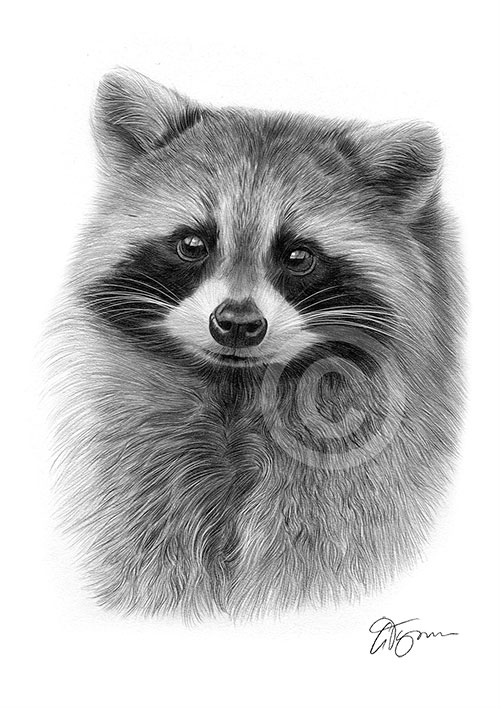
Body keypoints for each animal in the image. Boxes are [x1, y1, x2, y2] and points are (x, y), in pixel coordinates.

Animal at [44, 68, 464, 621]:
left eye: (299, 256)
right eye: (193, 243)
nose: (237, 324)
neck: (237, 387)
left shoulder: (352, 473)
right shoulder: (136, 460)